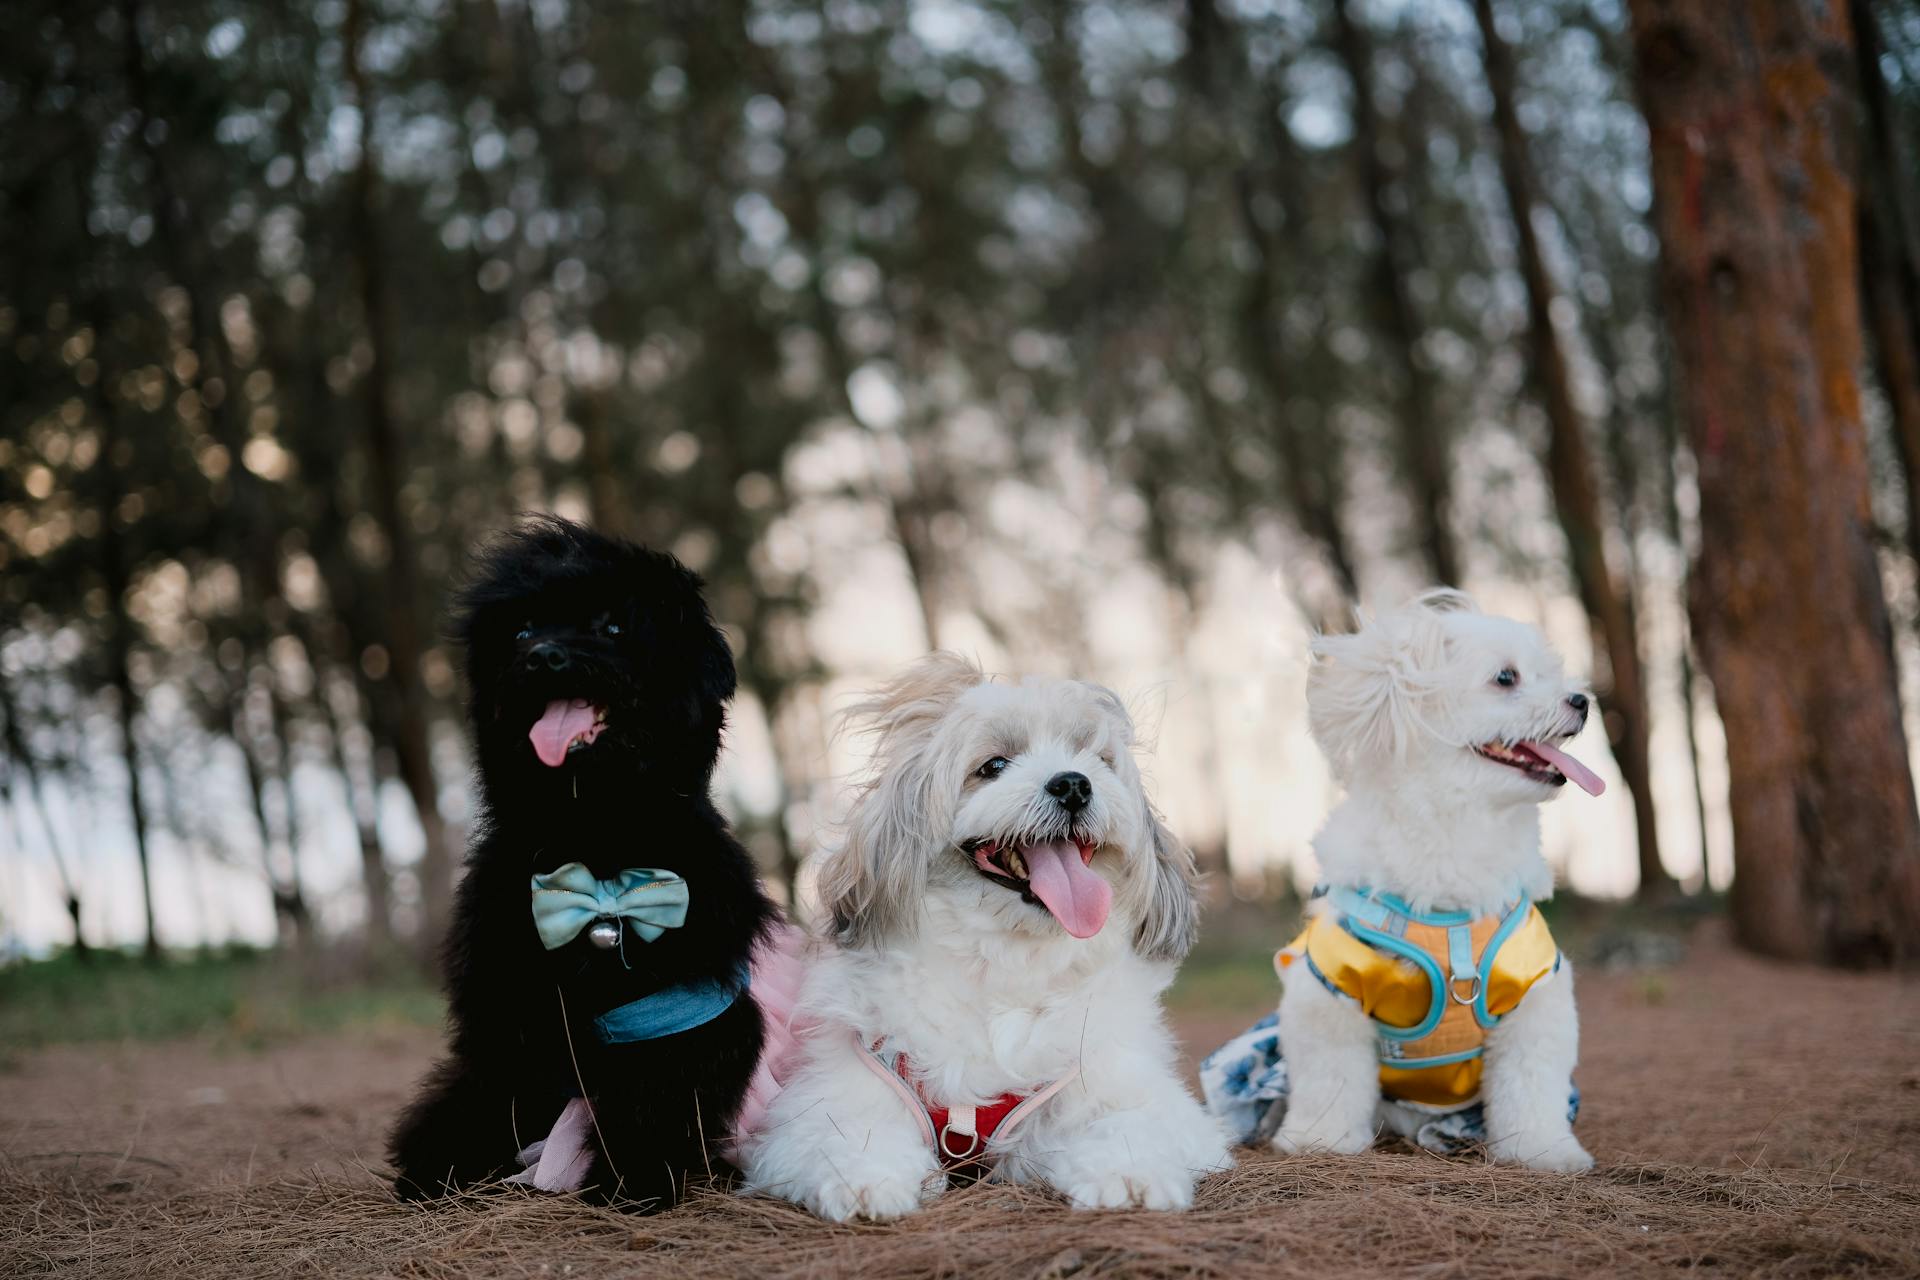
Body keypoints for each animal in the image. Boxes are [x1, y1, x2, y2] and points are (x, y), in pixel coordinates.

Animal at [385, 514, 775, 1205]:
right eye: (521, 630)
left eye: (612, 625)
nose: (543, 656)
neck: (596, 847)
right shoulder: (507, 1020)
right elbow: (483, 1099)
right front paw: (439, 1165)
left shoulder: (677, 1019)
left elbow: (658, 1100)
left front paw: (636, 1179)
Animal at [733, 652, 1228, 1220]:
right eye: (993, 766)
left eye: (1098, 760)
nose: (1073, 783)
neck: (1004, 961)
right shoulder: (831, 1096)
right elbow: (844, 1134)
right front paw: (866, 1182)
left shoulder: (1129, 1090)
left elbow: (1132, 1125)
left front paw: (1128, 1176)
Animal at [1205, 591, 1597, 1174]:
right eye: (1506, 677)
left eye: (1551, 672)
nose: (1582, 700)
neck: (1454, 838)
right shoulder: (1329, 990)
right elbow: (1331, 1079)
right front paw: (1322, 1142)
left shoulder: (1536, 993)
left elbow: (1532, 1087)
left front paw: (1544, 1151)